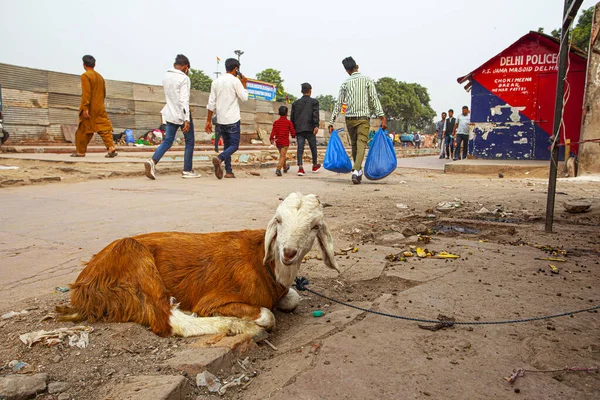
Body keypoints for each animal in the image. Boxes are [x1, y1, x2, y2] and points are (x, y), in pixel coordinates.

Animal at [58, 194, 340, 338]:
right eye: (278, 220)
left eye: (315, 226)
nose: (288, 252)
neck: (265, 265)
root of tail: (82, 284)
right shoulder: (215, 298)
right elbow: (267, 314)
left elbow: (293, 298)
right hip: (131, 255)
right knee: (165, 318)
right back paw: (234, 325)